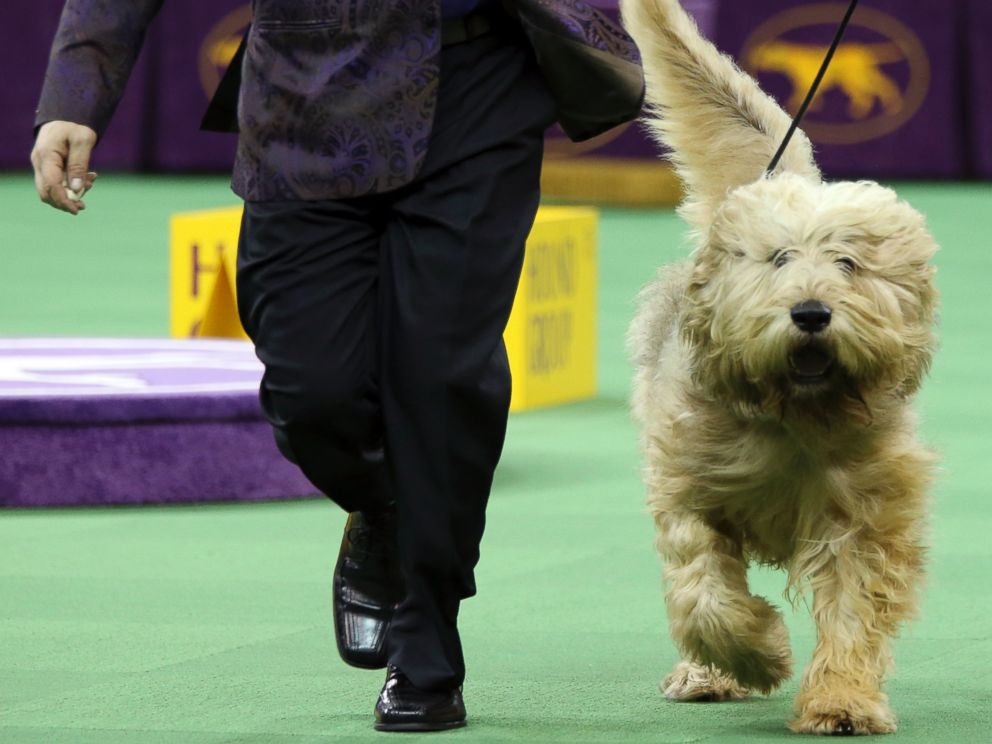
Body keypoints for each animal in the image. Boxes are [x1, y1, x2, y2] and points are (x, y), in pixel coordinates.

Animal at [620, 0, 936, 732]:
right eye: (779, 259)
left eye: (848, 262)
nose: (812, 313)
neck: (792, 413)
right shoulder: (688, 488)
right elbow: (704, 591)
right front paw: (757, 654)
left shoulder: (863, 514)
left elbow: (854, 611)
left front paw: (842, 701)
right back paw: (706, 674)